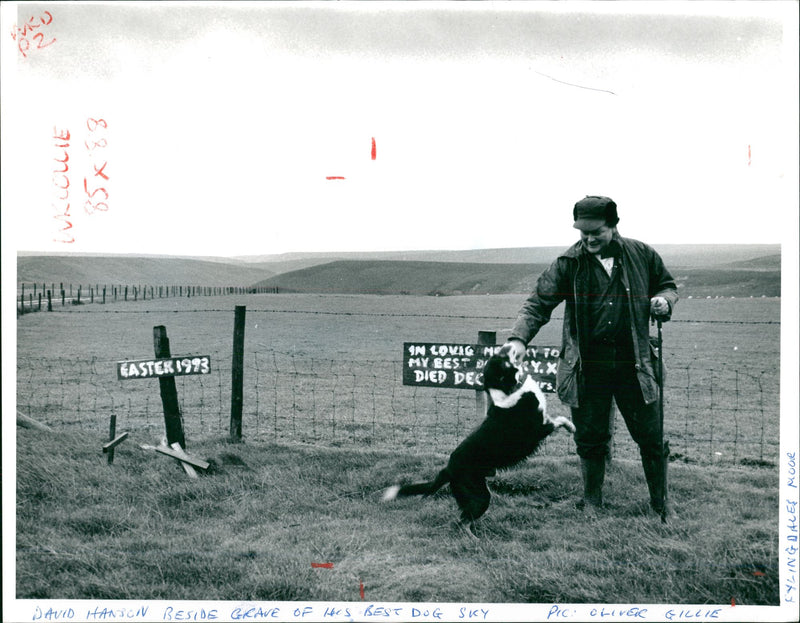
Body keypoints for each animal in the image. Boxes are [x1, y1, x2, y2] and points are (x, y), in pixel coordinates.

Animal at [382, 344, 576, 540]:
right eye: (502, 359)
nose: (509, 344)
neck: (508, 391)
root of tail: (448, 468)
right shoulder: (539, 427)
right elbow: (560, 419)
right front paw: (572, 427)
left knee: (462, 520)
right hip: (480, 497)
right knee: (461, 522)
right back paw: (475, 540)